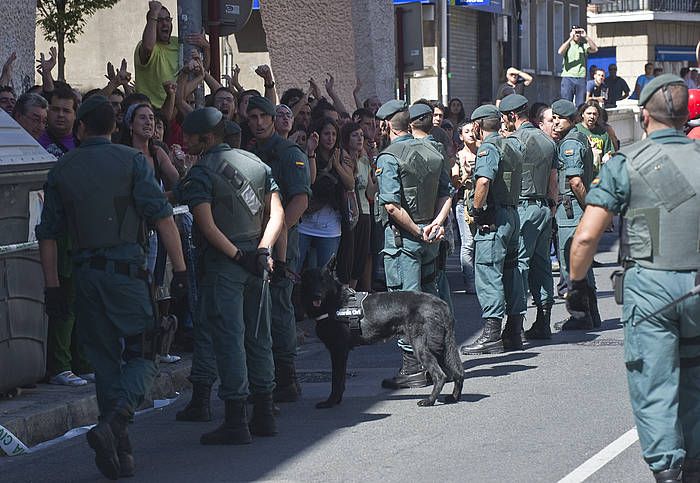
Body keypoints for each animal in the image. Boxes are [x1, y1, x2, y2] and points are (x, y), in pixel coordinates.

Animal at [300, 262, 464, 410]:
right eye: (310, 281)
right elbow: (341, 381)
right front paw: (337, 400)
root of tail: (441, 304)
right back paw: (453, 397)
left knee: (440, 375)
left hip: (422, 348)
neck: (335, 301)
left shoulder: (338, 351)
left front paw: (330, 402)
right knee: (458, 373)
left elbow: (336, 380)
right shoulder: (341, 353)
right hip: (441, 349)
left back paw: (429, 401)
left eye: (323, 280)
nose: (316, 295)